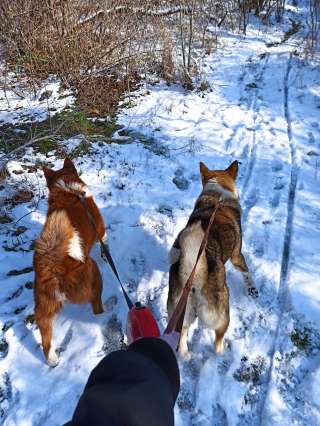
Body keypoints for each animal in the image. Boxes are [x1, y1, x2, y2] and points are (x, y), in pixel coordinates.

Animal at [34, 158, 105, 364]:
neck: (67, 189)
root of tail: (53, 265)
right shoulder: (101, 230)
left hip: (44, 305)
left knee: (45, 332)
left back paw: (51, 359)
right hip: (94, 275)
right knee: (96, 305)